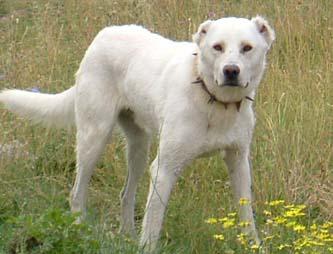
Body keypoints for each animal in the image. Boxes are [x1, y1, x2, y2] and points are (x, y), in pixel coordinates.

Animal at [0, 16, 274, 252]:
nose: (231, 71)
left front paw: (254, 246)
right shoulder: (164, 168)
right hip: (94, 138)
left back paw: (128, 237)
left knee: (125, 195)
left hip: (139, 148)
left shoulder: (238, 162)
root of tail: (102, 35)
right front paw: (147, 248)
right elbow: (153, 221)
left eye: (247, 48)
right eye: (217, 47)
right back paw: (80, 232)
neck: (214, 101)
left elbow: (247, 216)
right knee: (76, 194)